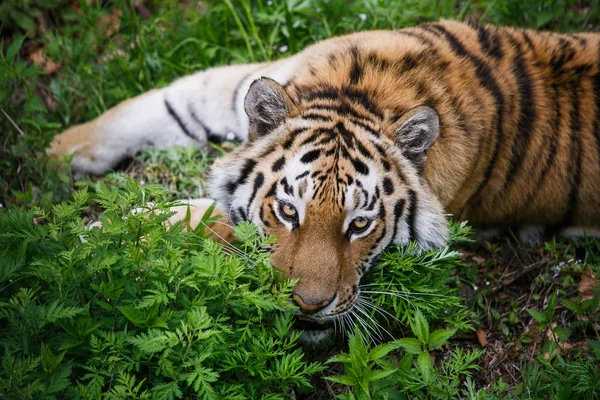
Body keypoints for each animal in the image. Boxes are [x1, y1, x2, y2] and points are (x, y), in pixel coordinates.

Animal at [50, 19, 600, 344]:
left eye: (359, 225)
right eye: (288, 210)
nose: (309, 306)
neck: (361, 93)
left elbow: (201, 216)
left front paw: (100, 237)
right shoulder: (232, 84)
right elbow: (154, 104)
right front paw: (59, 150)